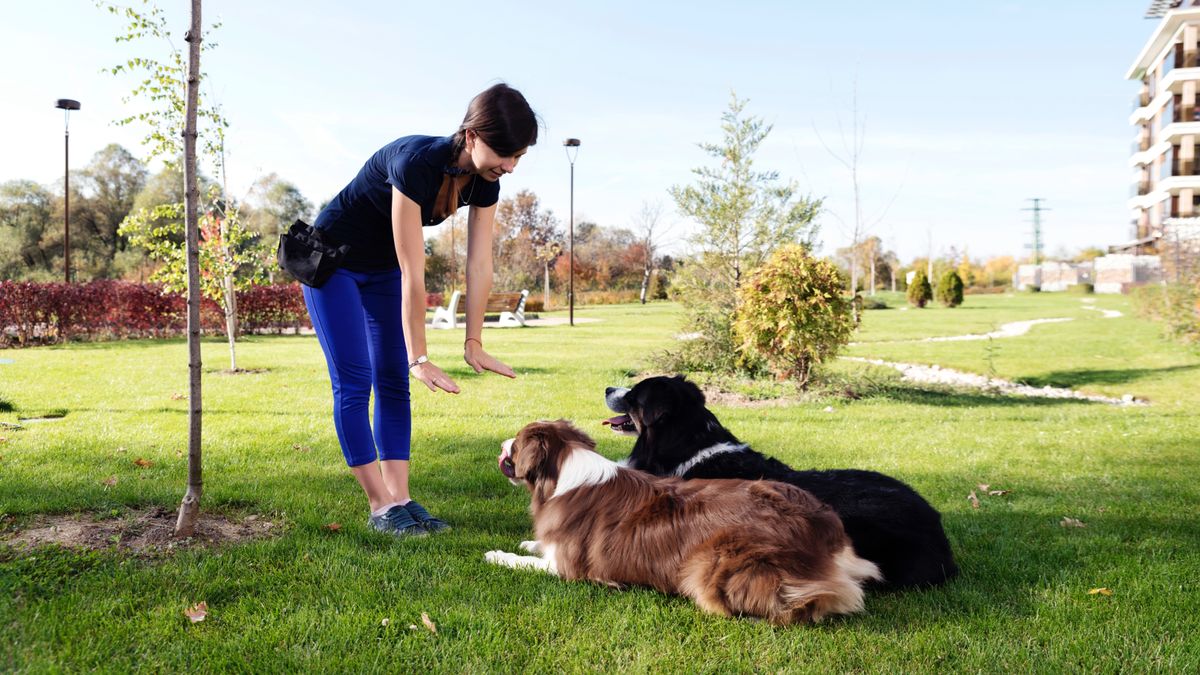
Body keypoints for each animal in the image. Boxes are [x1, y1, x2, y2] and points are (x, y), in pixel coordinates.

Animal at [487, 417, 883, 624]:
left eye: (516, 444)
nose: (502, 444)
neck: (564, 471)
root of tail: (824, 530)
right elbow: (536, 547)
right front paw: (529, 541)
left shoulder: (567, 568)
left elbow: (524, 561)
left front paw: (497, 555)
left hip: (715, 564)